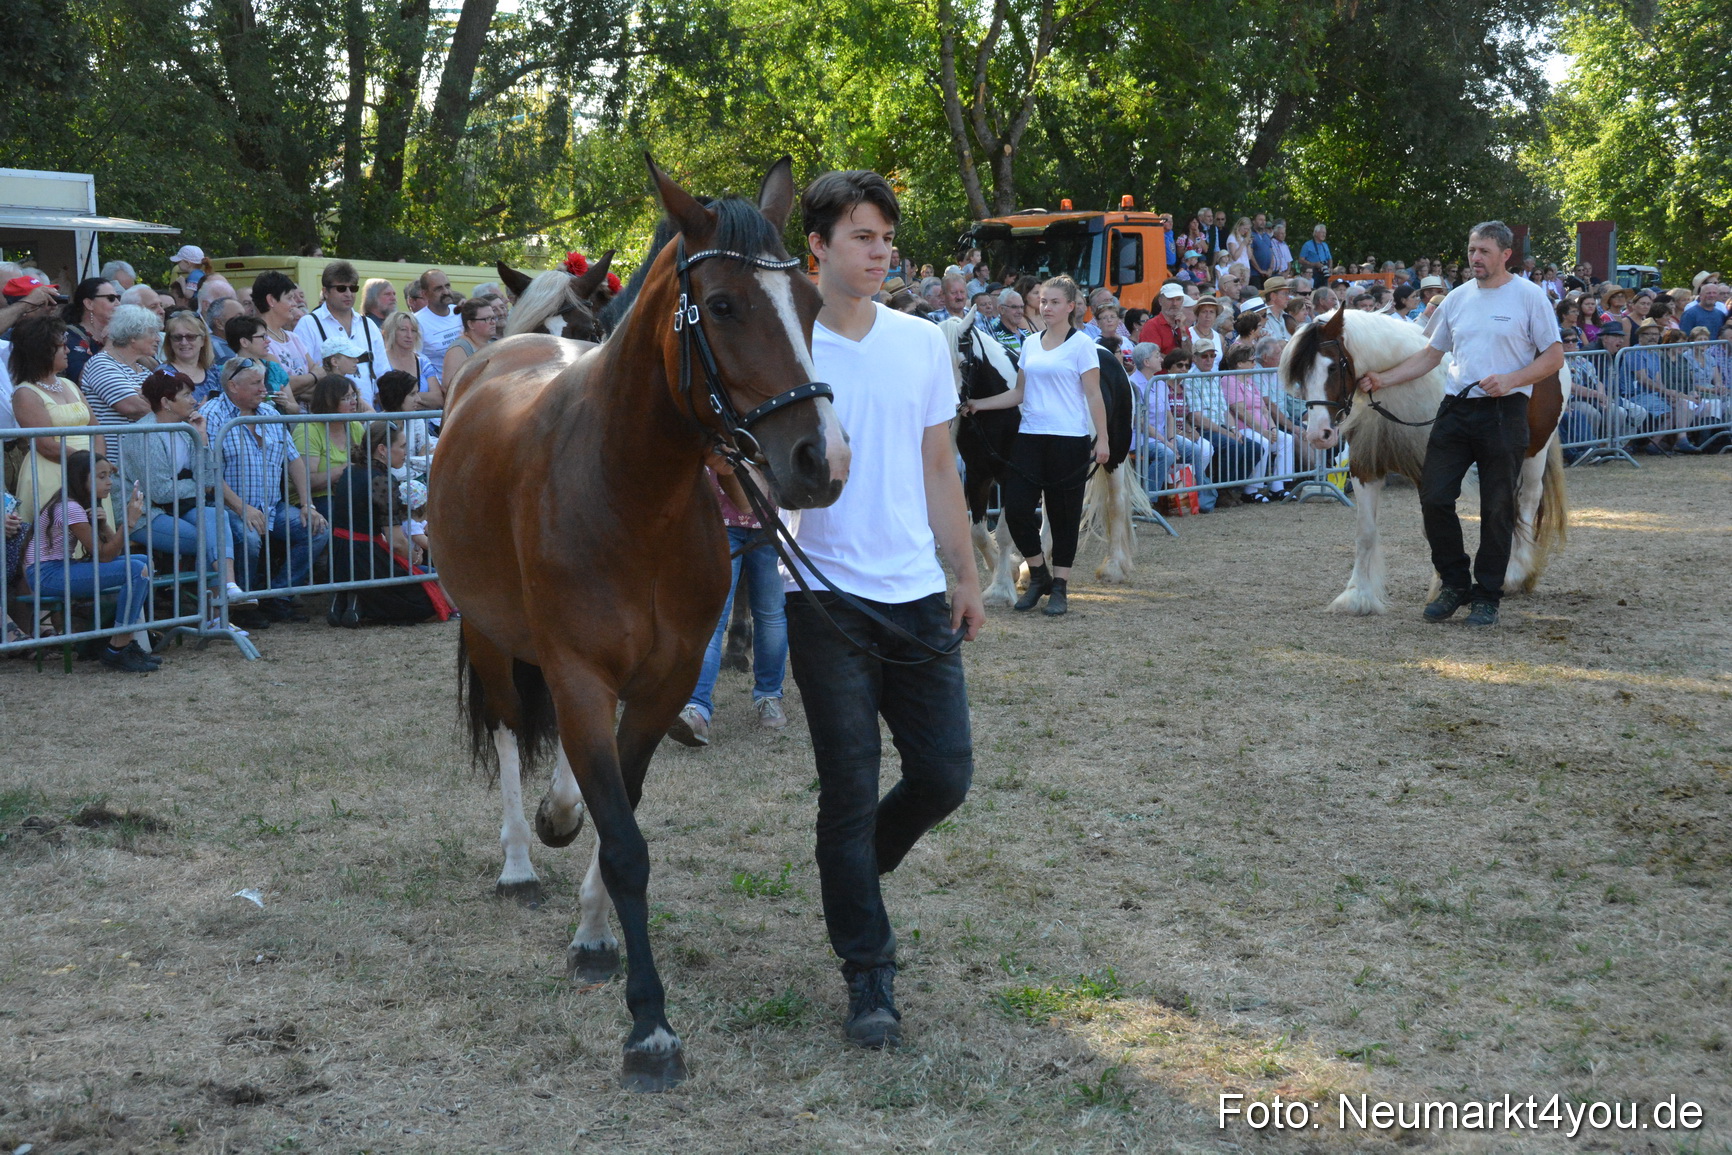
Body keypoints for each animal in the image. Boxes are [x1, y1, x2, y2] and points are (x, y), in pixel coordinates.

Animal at [427, 155, 850, 1092]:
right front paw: (649, 1026)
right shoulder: (580, 674)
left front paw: (594, 934)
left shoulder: (661, 681)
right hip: (487, 631)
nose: (822, 457)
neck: (628, 492)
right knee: (506, 726)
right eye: (722, 305)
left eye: (809, 302)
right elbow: (624, 841)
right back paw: (519, 858)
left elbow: (621, 804)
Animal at [1278, 307, 1568, 614]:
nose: (1318, 435)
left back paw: (1515, 574)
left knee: (1527, 499)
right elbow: (1366, 531)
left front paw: (1444, 587)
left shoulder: (1426, 471)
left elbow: (1434, 529)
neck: (1398, 391)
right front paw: (1358, 596)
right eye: (1300, 375)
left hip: (1535, 449)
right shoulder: (1366, 468)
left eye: (1333, 367)